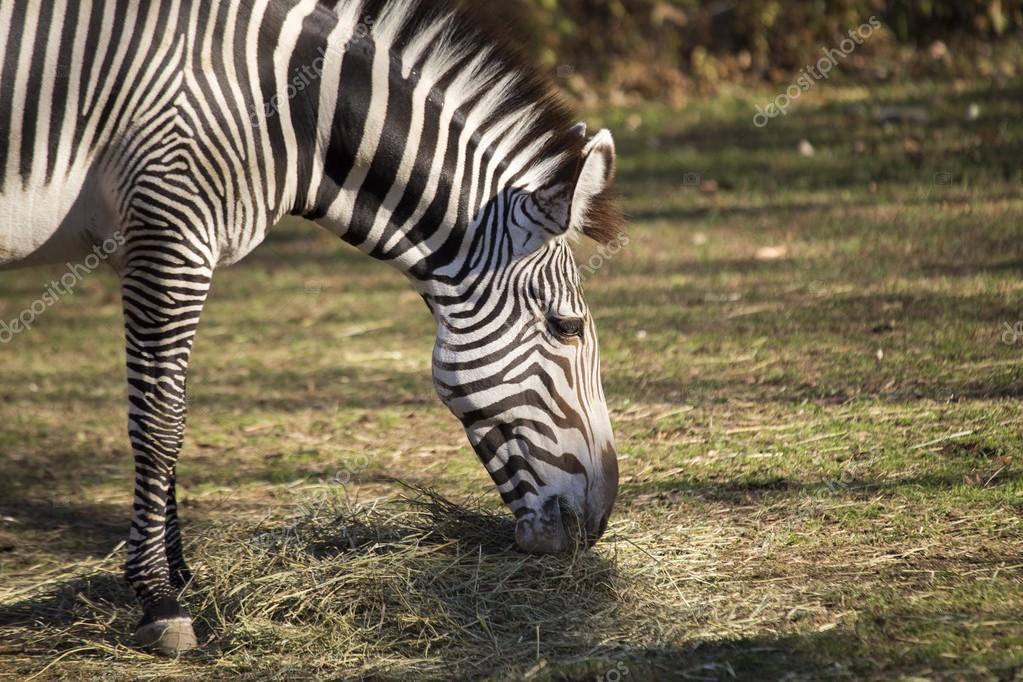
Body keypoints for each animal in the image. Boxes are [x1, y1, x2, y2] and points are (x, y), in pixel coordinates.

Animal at [0, 0, 621, 654]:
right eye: (566, 327)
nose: (598, 524)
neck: (281, 111)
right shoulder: (170, 233)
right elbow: (160, 422)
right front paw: (159, 600)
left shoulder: (147, 245)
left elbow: (167, 411)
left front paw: (177, 575)